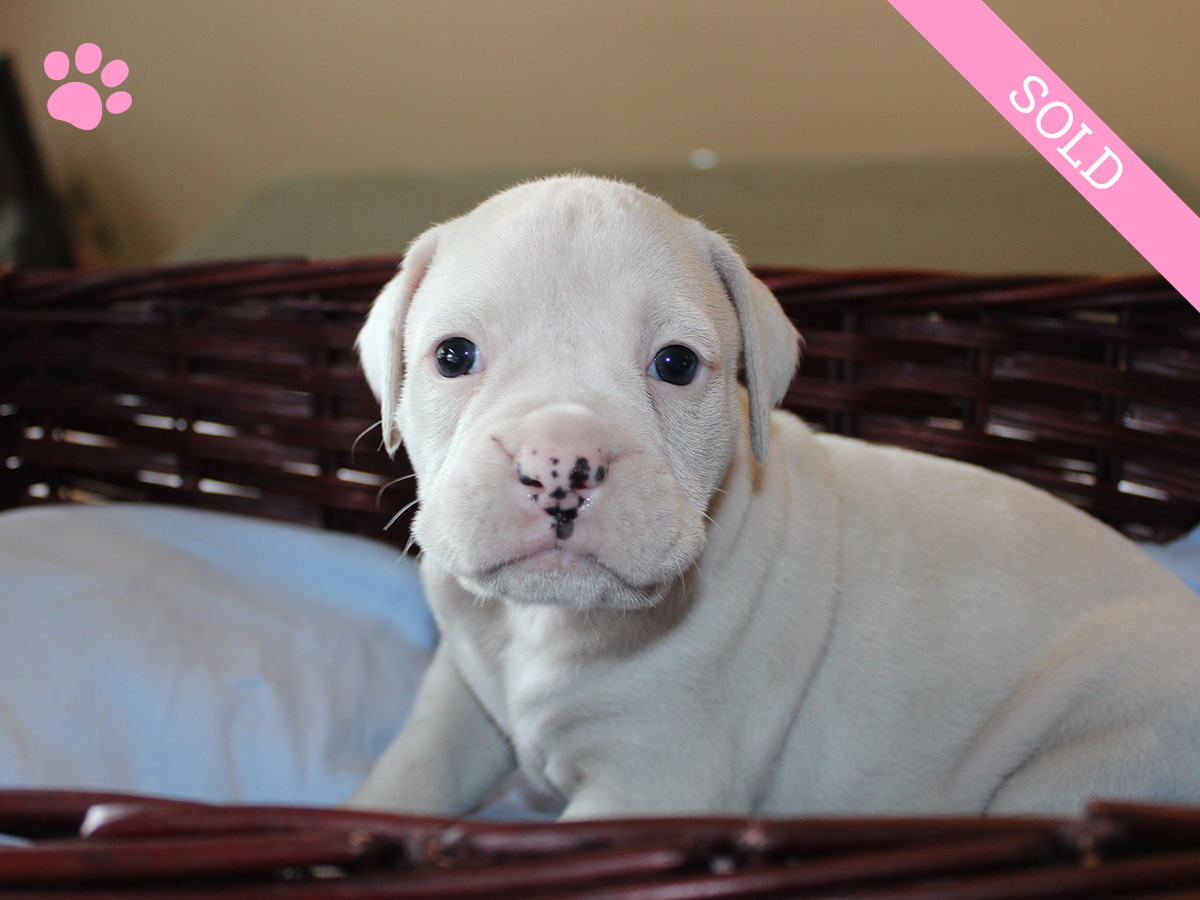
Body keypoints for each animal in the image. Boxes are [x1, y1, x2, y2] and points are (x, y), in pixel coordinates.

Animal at [350, 174, 1200, 816]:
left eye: (676, 364)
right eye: (453, 356)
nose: (559, 461)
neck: (555, 626)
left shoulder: (656, 780)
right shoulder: (460, 695)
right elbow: (408, 777)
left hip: (1099, 751)